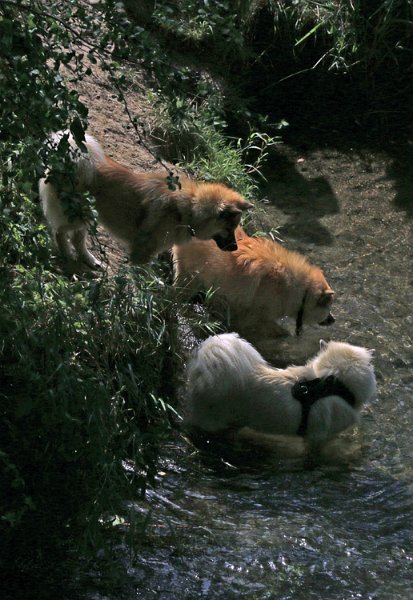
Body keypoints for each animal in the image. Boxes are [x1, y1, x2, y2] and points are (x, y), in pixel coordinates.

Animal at [39, 134, 251, 270]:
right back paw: (67, 255)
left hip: (89, 216)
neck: (189, 209)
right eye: (229, 228)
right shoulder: (142, 252)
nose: (235, 248)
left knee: (76, 238)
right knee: (59, 231)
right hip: (79, 214)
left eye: (235, 228)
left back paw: (90, 260)